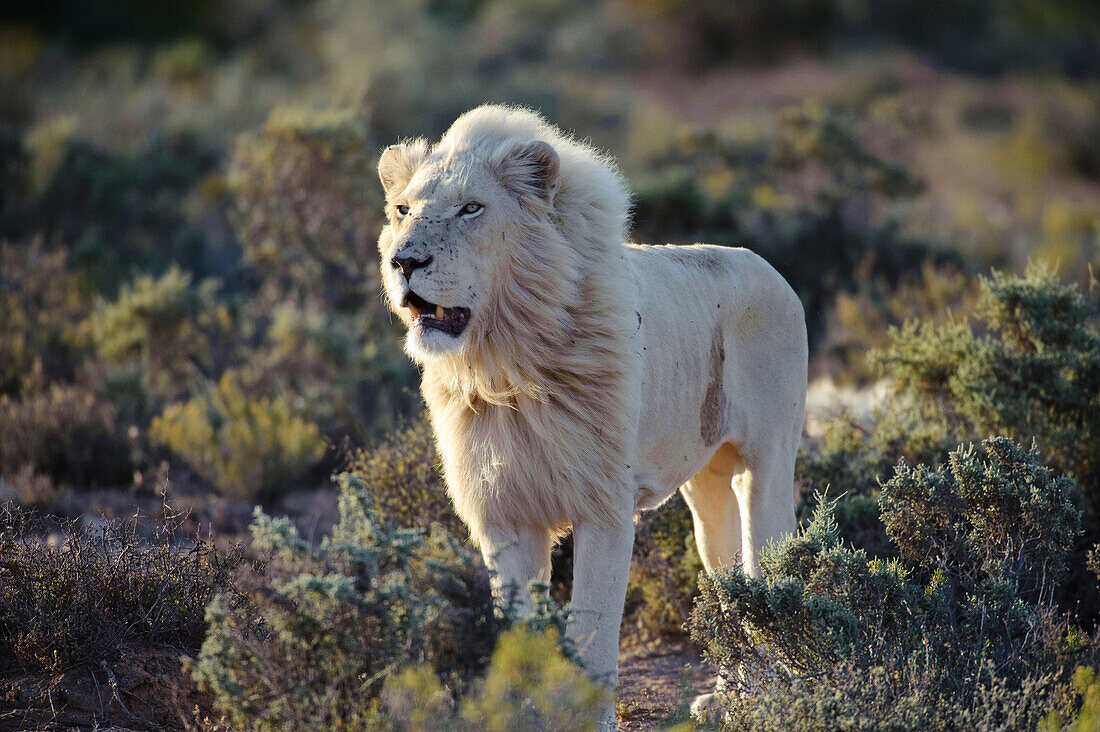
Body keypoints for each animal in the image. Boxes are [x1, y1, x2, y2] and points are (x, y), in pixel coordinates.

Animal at [378, 105, 809, 726]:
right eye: (402, 210)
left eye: (471, 208)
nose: (405, 261)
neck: (504, 362)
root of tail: (768, 268)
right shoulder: (504, 514)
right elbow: (519, 627)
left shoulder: (604, 507)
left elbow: (594, 628)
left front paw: (589, 716)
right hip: (705, 487)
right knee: (727, 578)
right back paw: (728, 696)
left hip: (766, 470)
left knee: (765, 572)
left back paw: (768, 695)